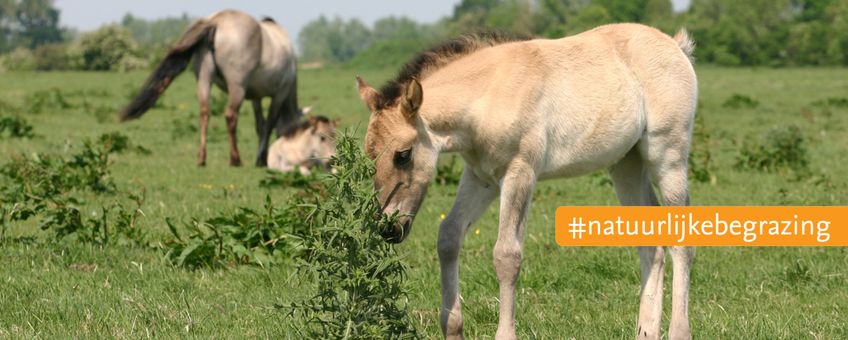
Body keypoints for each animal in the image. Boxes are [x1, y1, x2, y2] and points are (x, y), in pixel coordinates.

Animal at [118, 8, 304, 166]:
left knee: (204, 113)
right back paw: (235, 159)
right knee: (230, 115)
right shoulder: (280, 94)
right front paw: (261, 159)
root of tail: (215, 21)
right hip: (237, 87)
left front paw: (261, 158)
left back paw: (202, 158)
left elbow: (260, 125)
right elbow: (269, 124)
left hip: (204, 79)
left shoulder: (256, 98)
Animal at [356, 22, 696, 338]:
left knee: (681, 243)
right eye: (368, 155)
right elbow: (449, 237)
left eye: (402, 155)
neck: (489, 94)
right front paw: (452, 327)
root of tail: (674, 45)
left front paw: (505, 334)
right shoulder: (480, 178)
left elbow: (507, 255)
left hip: (669, 157)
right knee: (650, 244)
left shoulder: (520, 173)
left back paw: (679, 331)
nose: (388, 228)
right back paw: (646, 332)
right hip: (626, 165)